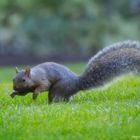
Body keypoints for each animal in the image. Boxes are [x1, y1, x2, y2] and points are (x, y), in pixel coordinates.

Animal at [10, 40, 140, 103]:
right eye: (13, 79)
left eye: (23, 80)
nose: (15, 87)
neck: (33, 76)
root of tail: (77, 83)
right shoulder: (26, 89)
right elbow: (23, 93)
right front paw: (13, 94)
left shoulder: (42, 79)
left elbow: (42, 86)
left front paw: (35, 95)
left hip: (59, 88)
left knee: (56, 97)